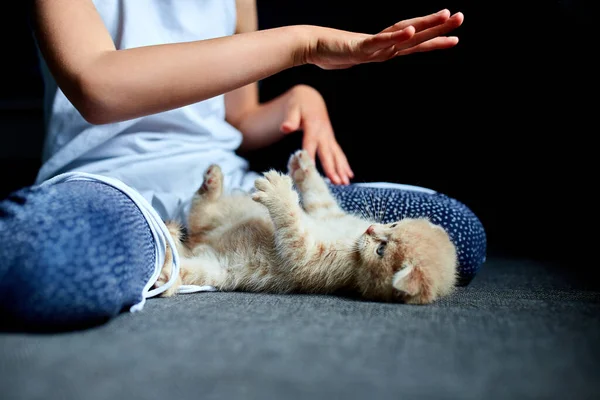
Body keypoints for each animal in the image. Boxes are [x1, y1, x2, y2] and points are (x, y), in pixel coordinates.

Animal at [156, 150, 460, 304]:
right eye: (393, 224)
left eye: (381, 251)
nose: (371, 230)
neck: (352, 239)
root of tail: (198, 244)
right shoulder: (329, 213)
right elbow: (318, 196)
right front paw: (303, 166)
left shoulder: (308, 258)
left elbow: (294, 228)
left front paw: (280, 193)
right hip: (230, 214)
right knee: (200, 216)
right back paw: (212, 182)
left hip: (213, 270)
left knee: (190, 241)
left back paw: (164, 275)